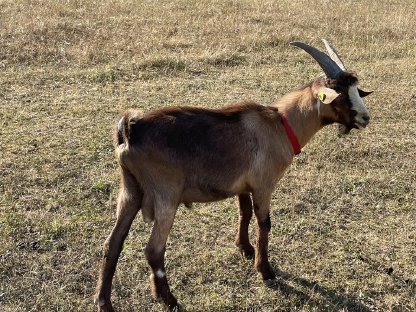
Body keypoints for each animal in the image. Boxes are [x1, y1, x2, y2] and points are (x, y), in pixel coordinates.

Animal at [95, 40, 374, 310]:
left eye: (356, 90)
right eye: (339, 95)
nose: (365, 118)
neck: (281, 124)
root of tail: (131, 131)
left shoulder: (242, 186)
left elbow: (244, 213)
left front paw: (245, 248)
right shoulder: (263, 185)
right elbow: (264, 223)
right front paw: (265, 270)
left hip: (130, 192)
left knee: (112, 243)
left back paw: (104, 303)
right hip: (166, 196)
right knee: (154, 250)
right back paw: (169, 300)